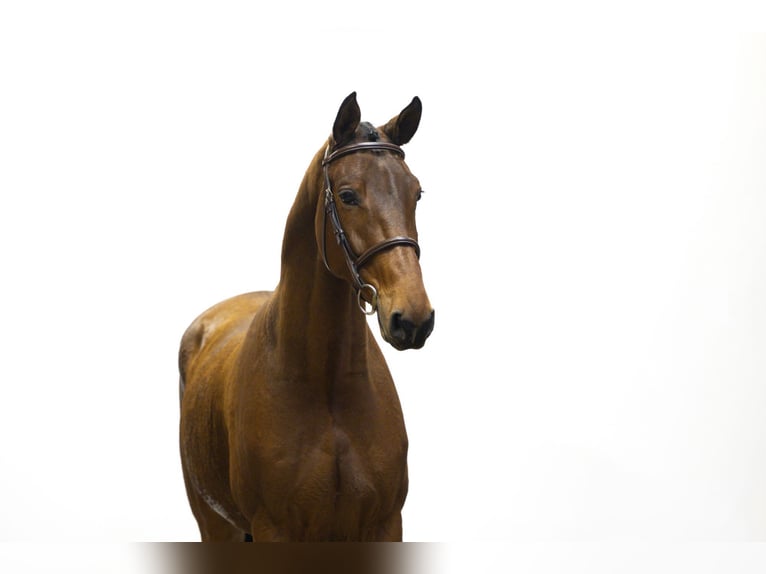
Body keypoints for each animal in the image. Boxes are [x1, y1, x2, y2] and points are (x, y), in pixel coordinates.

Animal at [178, 92, 435, 541]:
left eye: (416, 193)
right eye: (348, 195)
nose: (413, 318)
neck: (325, 387)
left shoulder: (385, 524)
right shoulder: (274, 529)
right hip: (213, 523)